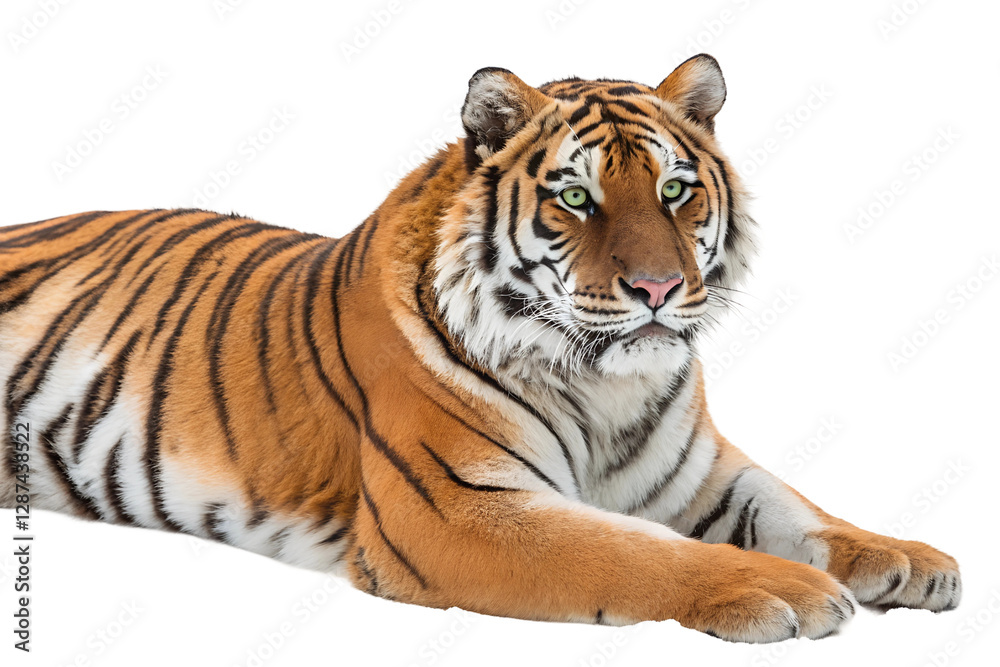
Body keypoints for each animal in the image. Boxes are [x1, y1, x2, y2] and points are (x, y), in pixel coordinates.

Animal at [0, 54, 961, 643]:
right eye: (575, 197)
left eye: (675, 190)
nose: (656, 289)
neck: (607, 384)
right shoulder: (456, 507)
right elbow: (635, 551)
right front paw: (782, 589)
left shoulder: (701, 473)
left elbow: (803, 510)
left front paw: (911, 561)